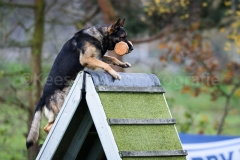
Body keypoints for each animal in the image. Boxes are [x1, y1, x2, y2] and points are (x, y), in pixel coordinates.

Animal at [27, 18, 134, 149]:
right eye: (123, 37)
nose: (132, 48)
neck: (99, 36)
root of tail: (44, 95)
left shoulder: (97, 57)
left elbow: (111, 59)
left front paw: (123, 64)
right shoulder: (87, 59)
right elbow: (106, 64)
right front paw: (114, 73)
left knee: (47, 126)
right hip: (60, 109)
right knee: (48, 127)